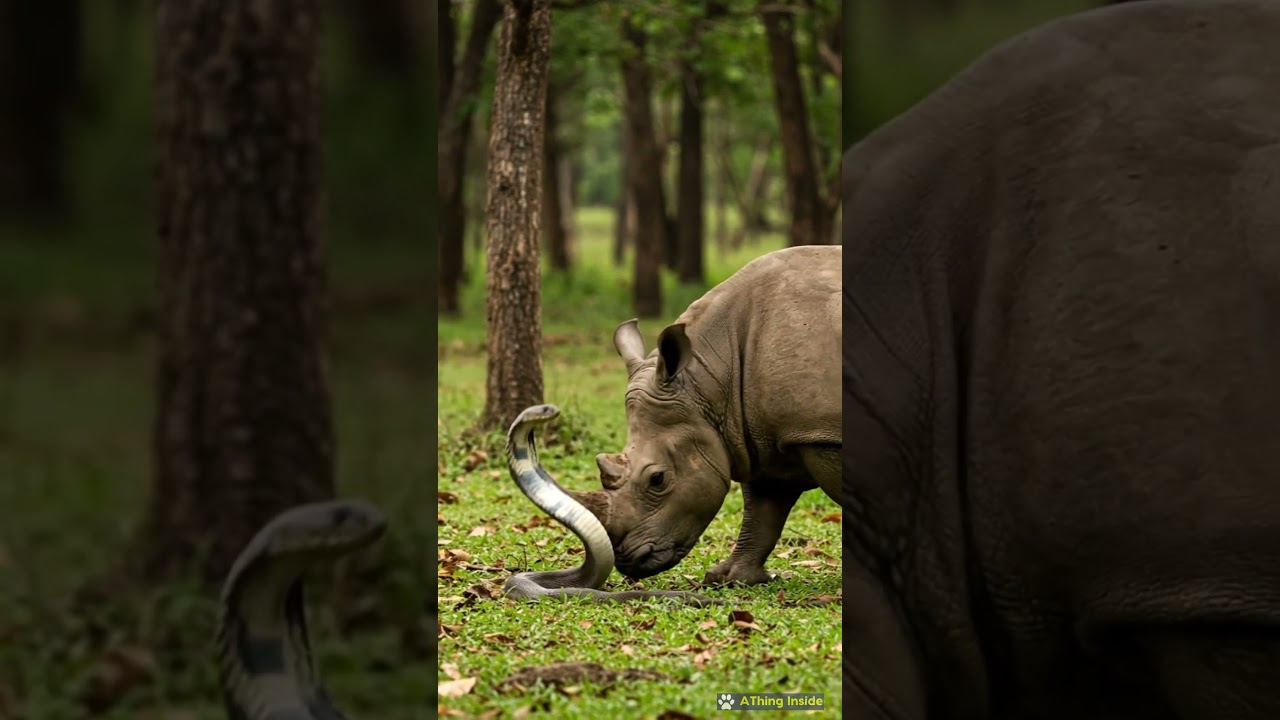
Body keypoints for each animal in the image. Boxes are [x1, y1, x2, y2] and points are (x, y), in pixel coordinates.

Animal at [569, 245, 841, 585]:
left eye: (657, 479)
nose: (628, 563)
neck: (710, 378)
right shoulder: (764, 433)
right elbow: (763, 508)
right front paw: (731, 578)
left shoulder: (820, 434)